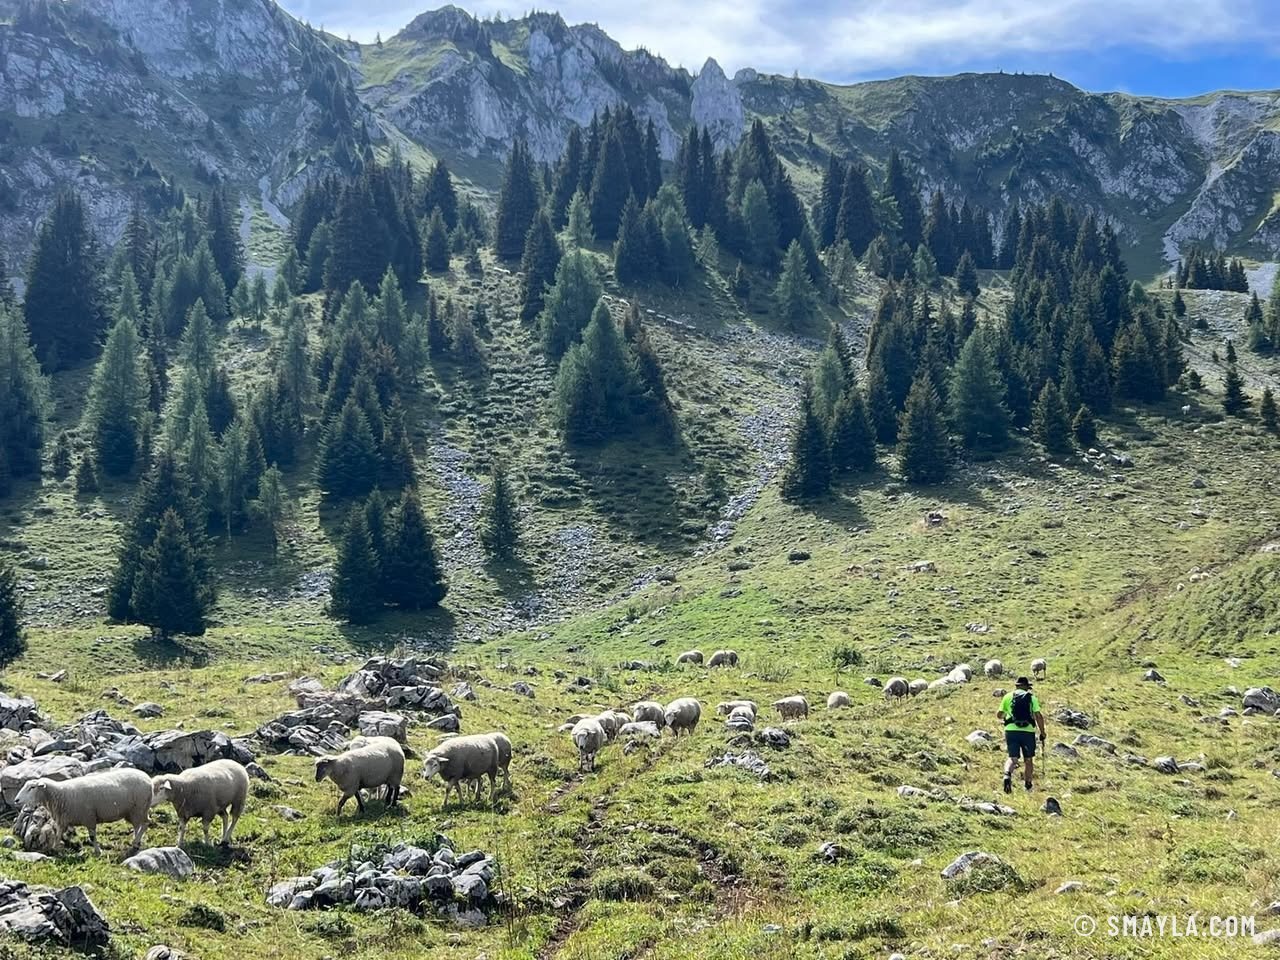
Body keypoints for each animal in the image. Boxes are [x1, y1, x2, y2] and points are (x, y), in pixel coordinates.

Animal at [15, 768, 152, 855]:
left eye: (32, 787)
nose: (16, 800)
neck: (60, 794)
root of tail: (147, 777)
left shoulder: (89, 818)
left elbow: (92, 837)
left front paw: (97, 851)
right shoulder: (63, 820)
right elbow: (58, 835)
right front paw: (54, 849)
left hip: (140, 808)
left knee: (145, 823)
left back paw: (135, 842)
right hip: (132, 811)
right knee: (137, 826)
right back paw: (136, 842)